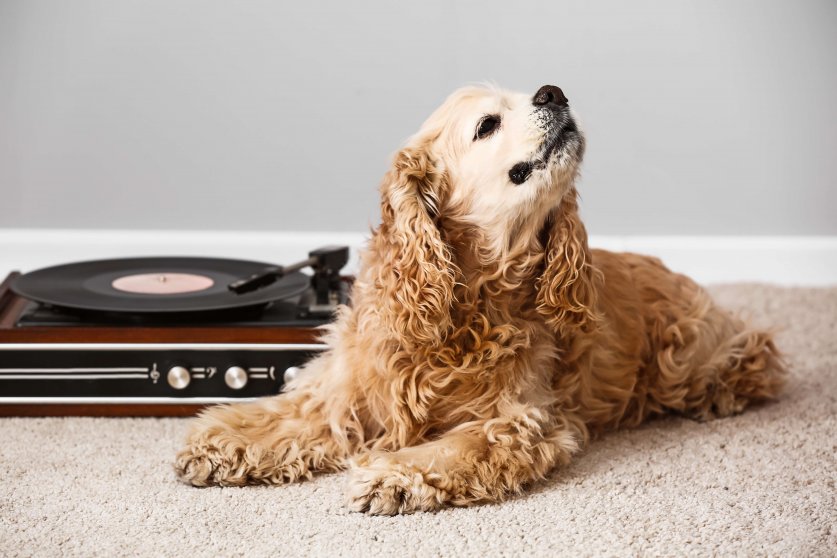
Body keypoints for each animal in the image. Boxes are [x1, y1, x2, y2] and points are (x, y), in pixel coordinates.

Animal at [173, 83, 788, 516]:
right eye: (487, 124)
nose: (554, 91)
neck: (464, 305)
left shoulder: (518, 420)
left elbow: (454, 449)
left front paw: (393, 477)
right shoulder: (351, 394)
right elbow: (293, 414)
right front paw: (220, 442)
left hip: (688, 355)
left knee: (755, 359)